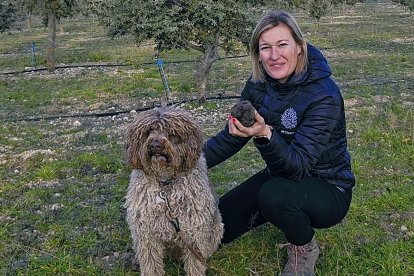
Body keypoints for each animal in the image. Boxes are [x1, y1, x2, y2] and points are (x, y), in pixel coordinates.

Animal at [123, 106, 223, 276]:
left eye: (171, 133)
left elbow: (195, 264)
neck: (165, 184)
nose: (155, 144)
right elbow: (150, 264)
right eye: (148, 131)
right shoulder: (146, 234)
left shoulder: (194, 232)